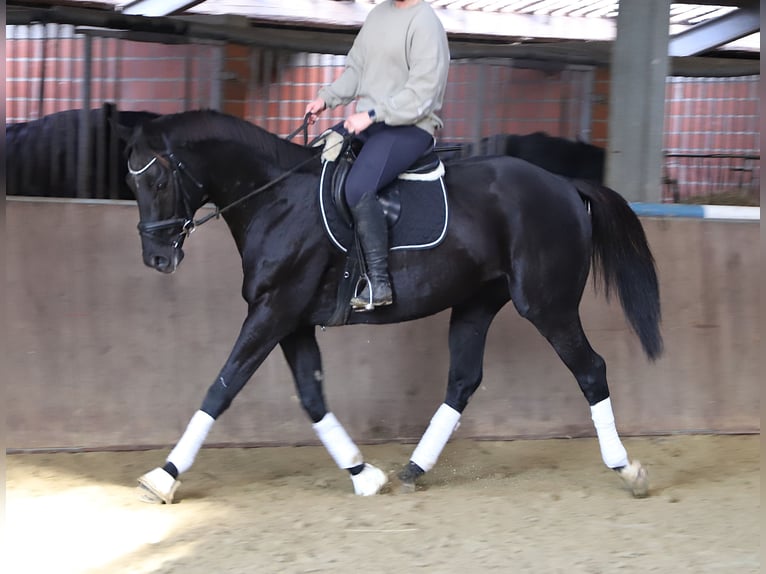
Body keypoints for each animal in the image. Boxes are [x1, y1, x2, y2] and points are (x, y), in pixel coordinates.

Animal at [121, 109, 662, 503]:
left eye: (160, 181)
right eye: (132, 184)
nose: (157, 258)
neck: (277, 199)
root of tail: (565, 185)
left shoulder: (274, 311)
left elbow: (221, 388)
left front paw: (163, 476)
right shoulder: (290, 321)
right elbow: (312, 397)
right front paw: (362, 473)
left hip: (547, 304)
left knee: (591, 370)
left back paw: (627, 469)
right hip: (477, 303)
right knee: (463, 381)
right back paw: (413, 468)